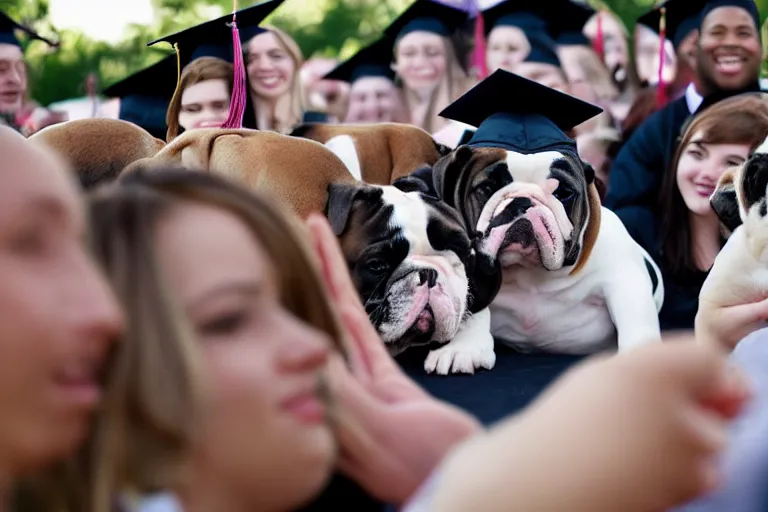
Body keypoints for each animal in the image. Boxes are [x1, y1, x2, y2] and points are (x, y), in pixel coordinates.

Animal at [408, 144, 664, 360]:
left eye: (563, 193)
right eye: (487, 188)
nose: (522, 201)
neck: (528, 272)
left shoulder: (624, 281)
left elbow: (635, 321)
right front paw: (464, 348)